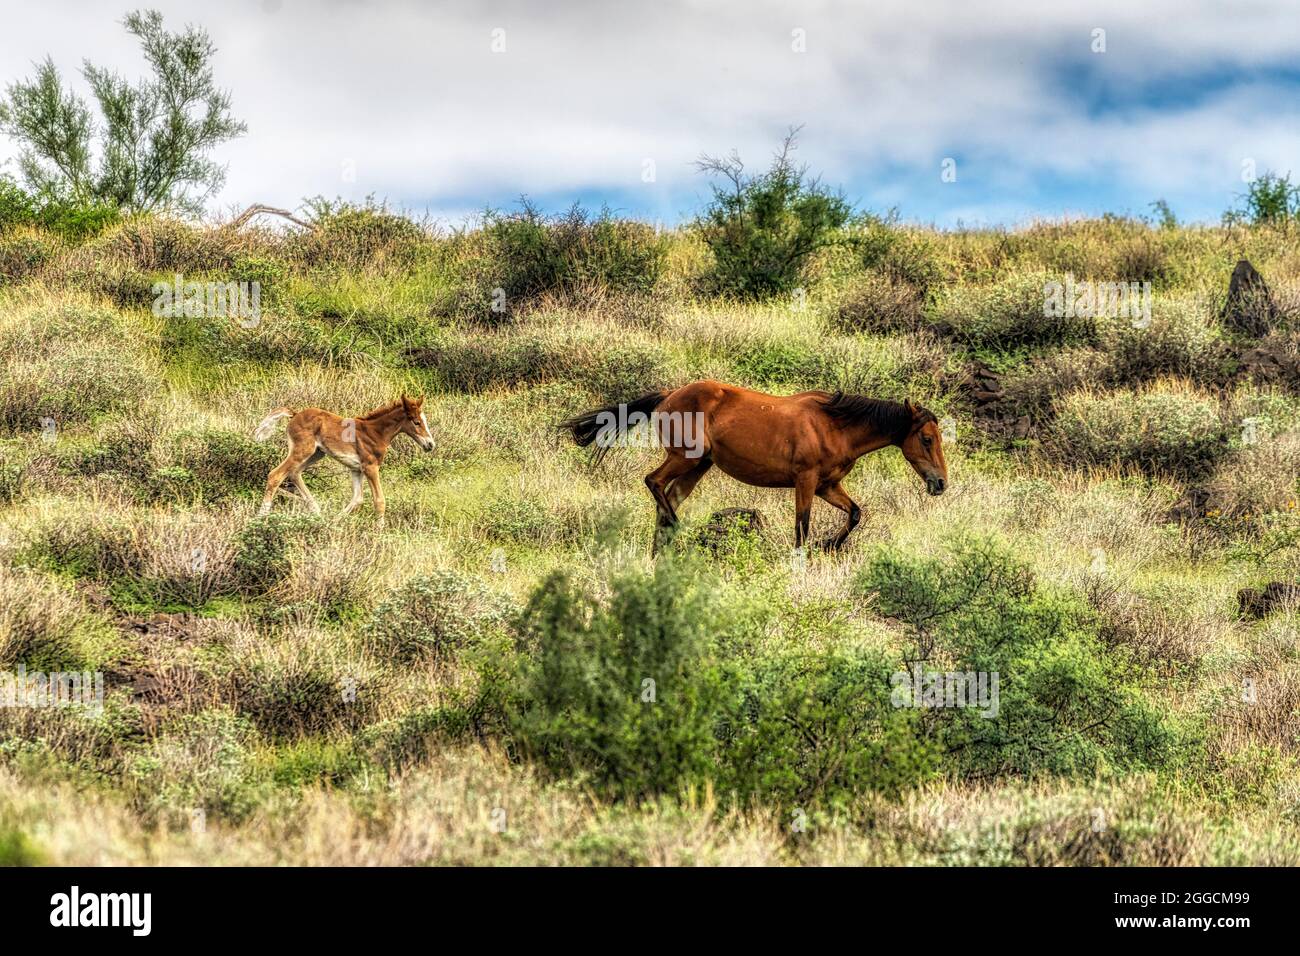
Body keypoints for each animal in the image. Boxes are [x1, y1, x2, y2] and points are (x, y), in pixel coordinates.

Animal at [253, 395, 436, 520]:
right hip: (302, 450)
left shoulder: (357, 470)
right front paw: (379, 533)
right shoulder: (370, 467)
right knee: (276, 475)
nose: (430, 444)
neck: (375, 432)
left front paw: (334, 522)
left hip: (317, 453)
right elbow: (379, 501)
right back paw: (260, 518)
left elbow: (357, 500)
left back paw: (317, 511)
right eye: (417, 422)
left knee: (294, 473)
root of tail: (295, 414)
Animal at [564, 379, 951, 554]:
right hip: (685, 457)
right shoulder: (806, 481)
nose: (940, 484)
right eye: (926, 439)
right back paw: (679, 533)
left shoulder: (827, 486)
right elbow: (801, 528)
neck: (834, 425)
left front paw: (829, 545)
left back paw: (661, 554)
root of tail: (667, 396)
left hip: (699, 466)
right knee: (654, 483)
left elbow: (855, 513)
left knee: (667, 499)